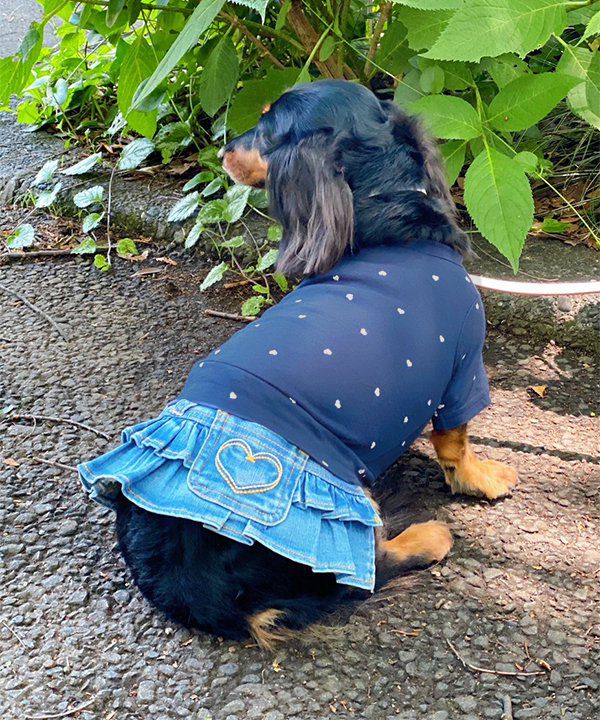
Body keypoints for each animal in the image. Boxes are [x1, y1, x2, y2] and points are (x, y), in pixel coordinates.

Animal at [81, 80, 517, 649]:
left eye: (268, 128)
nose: (222, 149)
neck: (389, 224)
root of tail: (192, 588)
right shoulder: (462, 370)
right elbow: (457, 444)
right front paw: (481, 478)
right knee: (366, 571)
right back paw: (428, 537)